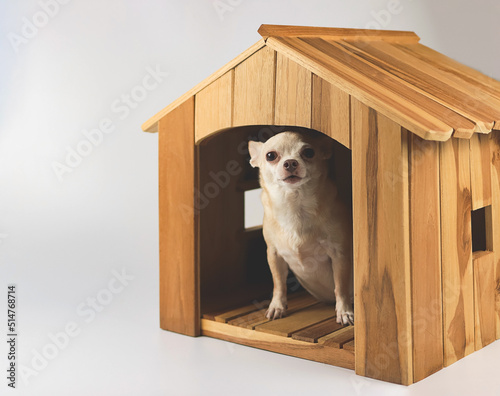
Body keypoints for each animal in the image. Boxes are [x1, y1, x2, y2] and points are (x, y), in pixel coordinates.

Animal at [248, 131, 354, 324]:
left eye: (309, 152)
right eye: (270, 156)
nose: (290, 162)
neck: (294, 205)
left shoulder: (339, 255)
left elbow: (340, 287)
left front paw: (344, 312)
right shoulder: (274, 254)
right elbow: (279, 284)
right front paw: (277, 306)